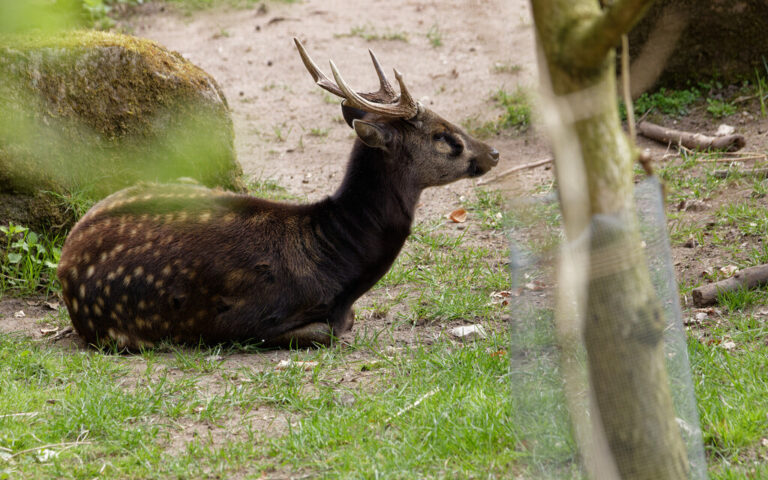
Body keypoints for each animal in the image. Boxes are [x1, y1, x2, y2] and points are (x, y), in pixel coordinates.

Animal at [57, 39, 500, 350]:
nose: (493, 152)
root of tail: (65, 258)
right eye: (443, 136)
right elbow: (326, 333)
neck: (336, 263)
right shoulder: (247, 320)